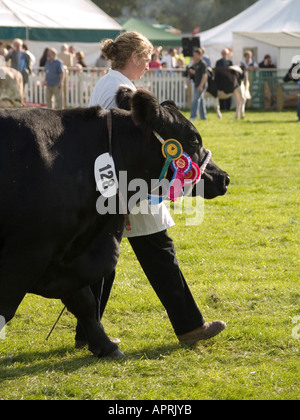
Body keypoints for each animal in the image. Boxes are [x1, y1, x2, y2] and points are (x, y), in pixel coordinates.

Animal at [0, 88, 230, 358]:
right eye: (193, 140)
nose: (223, 178)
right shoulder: (28, 252)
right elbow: (6, 307)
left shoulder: (65, 253)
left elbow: (85, 303)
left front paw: (105, 345)